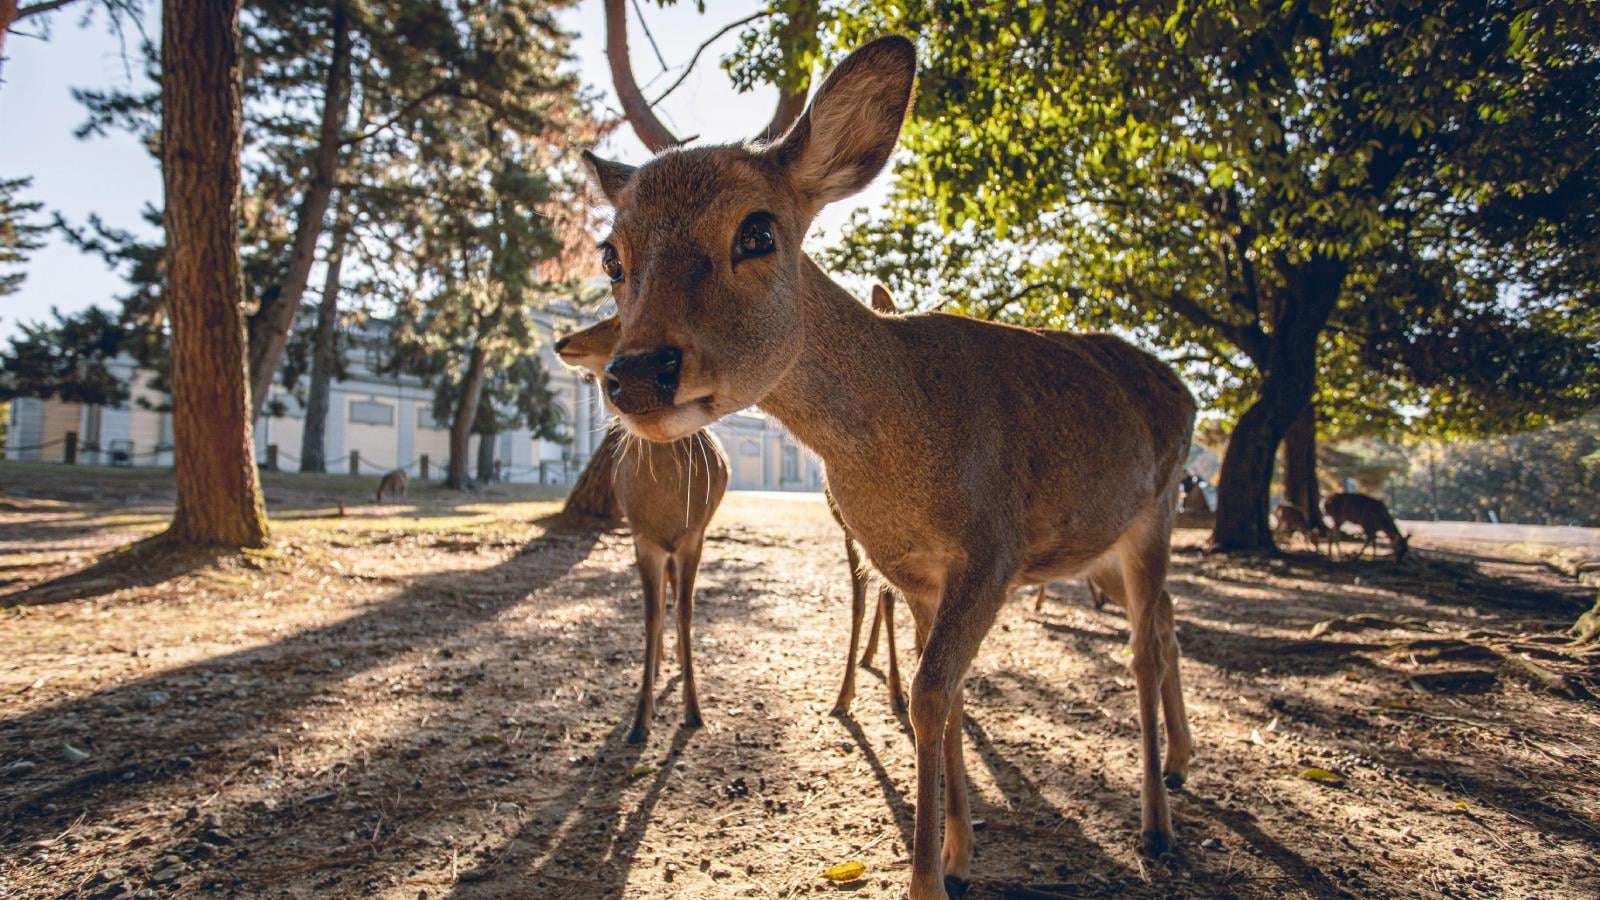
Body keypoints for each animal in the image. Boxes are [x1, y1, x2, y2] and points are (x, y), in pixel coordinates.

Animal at [555, 317, 730, 744]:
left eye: (617, 320)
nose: (561, 341)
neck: (665, 505)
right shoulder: (643, 538)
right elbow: (650, 615)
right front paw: (639, 720)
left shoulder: (693, 537)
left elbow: (686, 610)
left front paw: (694, 710)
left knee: (675, 595)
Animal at [580, 36, 1196, 898]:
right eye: (611, 254)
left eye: (758, 232)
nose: (637, 373)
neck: (900, 450)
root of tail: (1186, 390)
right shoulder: (910, 570)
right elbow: (947, 695)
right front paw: (962, 853)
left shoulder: (993, 549)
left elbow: (933, 695)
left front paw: (931, 877)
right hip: (1105, 544)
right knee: (1169, 623)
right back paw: (1178, 767)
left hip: (1158, 509)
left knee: (1143, 647)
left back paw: (1157, 826)